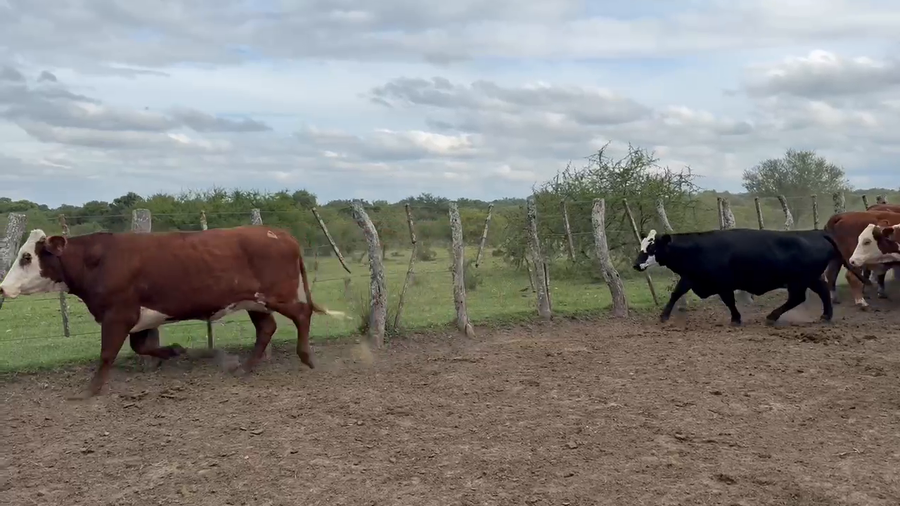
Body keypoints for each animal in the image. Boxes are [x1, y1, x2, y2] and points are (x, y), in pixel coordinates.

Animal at [0, 226, 345, 397]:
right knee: (267, 329)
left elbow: (107, 353)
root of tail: (281, 234)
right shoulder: (137, 318)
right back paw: (245, 367)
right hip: (255, 302)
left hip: (277, 295)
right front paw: (177, 350)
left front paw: (91, 389)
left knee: (302, 314)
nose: (3, 287)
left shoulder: (117, 315)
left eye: (27, 257)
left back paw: (306, 357)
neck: (97, 260)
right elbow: (143, 347)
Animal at [632, 228, 869, 326]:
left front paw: (736, 318)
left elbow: (729, 301)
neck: (698, 249)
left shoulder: (723, 283)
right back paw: (825, 316)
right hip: (811, 278)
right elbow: (675, 294)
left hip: (799, 280)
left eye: (652, 248)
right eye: (642, 245)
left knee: (797, 298)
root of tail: (817, 233)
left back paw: (772, 316)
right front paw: (663, 316)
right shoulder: (690, 278)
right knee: (822, 292)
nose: (636, 264)